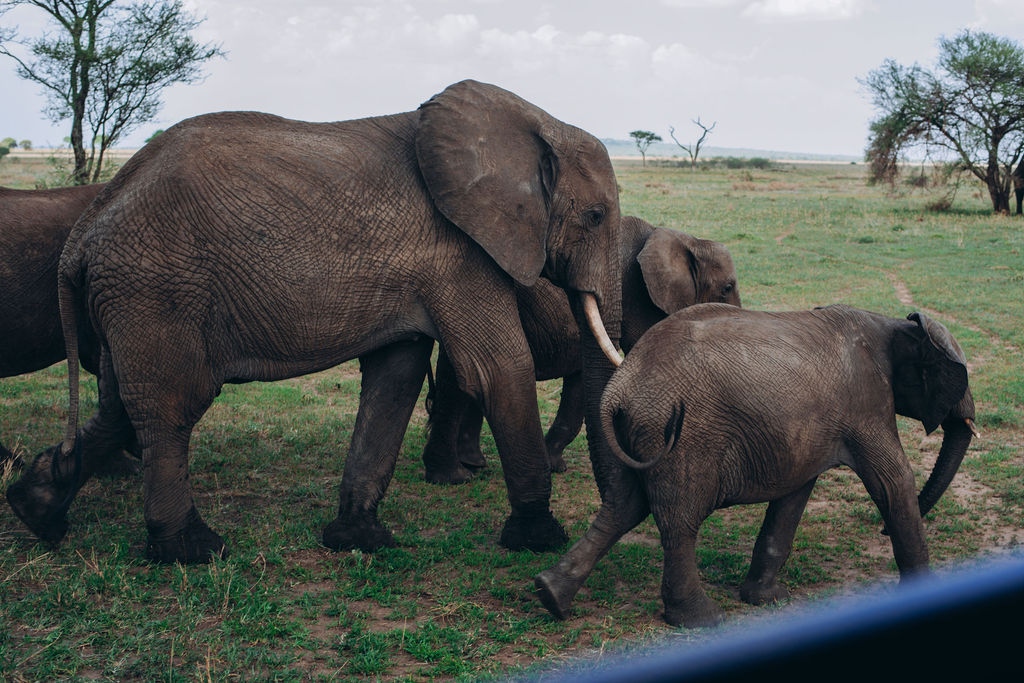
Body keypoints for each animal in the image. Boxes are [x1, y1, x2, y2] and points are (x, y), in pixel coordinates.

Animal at [420, 216, 741, 484]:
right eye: (727, 288)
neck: (684, 240)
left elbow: (579, 384)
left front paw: (554, 466)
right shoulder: (638, 297)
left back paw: (473, 463)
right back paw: (456, 475)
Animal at [536, 303, 977, 628]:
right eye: (959, 381)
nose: (879, 531)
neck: (895, 324)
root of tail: (621, 387)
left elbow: (794, 495)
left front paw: (765, 599)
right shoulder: (867, 404)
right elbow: (893, 480)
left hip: (637, 430)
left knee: (622, 508)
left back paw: (550, 596)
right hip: (683, 436)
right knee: (679, 521)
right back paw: (702, 620)